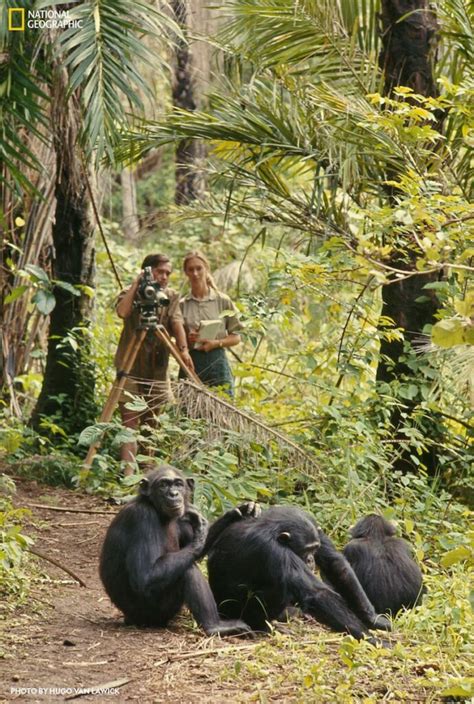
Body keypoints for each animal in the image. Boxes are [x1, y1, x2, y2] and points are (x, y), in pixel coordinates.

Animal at [99, 464, 252, 636]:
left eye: (178, 484)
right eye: (163, 485)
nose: (173, 494)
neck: (157, 509)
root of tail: (129, 618)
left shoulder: (182, 517)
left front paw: (239, 512)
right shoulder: (141, 518)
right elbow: (144, 575)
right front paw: (201, 531)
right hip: (152, 613)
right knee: (188, 571)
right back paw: (215, 626)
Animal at [206, 506, 390, 640]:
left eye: (314, 548)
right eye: (306, 550)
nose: (310, 559)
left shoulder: (313, 526)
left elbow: (335, 563)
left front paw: (373, 619)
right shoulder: (271, 548)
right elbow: (317, 594)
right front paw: (372, 640)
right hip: (232, 611)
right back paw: (263, 627)